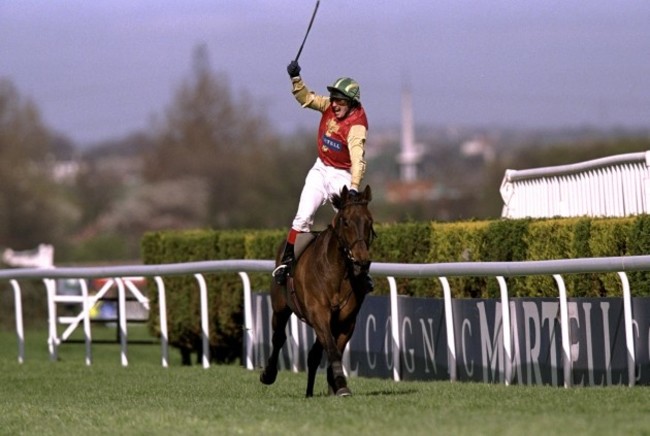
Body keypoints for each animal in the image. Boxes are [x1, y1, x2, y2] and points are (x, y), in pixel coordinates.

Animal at [260, 186, 374, 396]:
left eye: (369, 222)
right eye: (346, 222)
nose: (362, 261)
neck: (336, 272)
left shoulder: (346, 320)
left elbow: (334, 349)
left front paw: (338, 385)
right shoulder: (318, 312)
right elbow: (332, 349)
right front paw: (340, 383)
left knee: (313, 354)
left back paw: (310, 392)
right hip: (280, 307)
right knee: (279, 337)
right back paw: (268, 374)